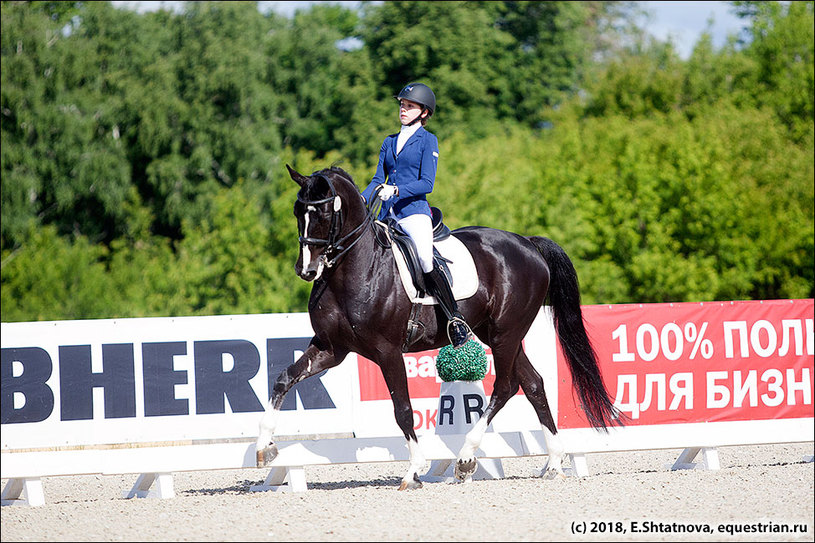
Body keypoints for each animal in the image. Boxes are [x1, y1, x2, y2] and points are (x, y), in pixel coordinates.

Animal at [258, 165, 620, 488]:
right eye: (297, 211)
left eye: (322, 213)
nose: (306, 270)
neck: (353, 270)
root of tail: (528, 244)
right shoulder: (331, 349)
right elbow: (283, 379)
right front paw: (265, 448)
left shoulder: (387, 351)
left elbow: (403, 409)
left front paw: (413, 470)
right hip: (501, 335)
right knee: (533, 384)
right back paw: (554, 463)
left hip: (505, 334)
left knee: (505, 387)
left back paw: (466, 458)